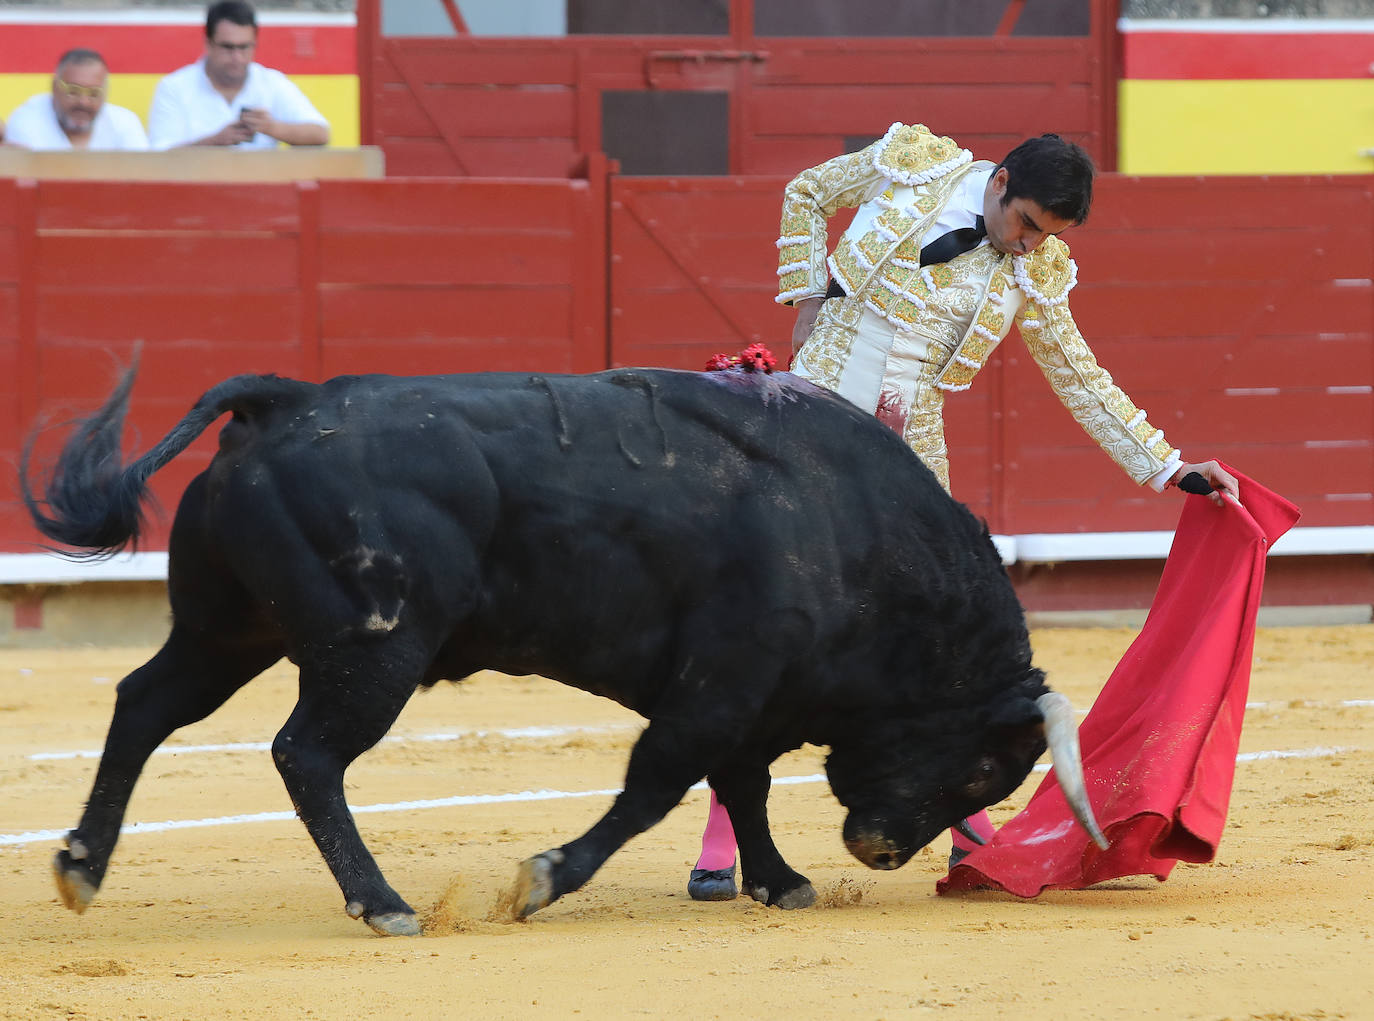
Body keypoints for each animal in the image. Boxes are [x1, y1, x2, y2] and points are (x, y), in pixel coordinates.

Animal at [18, 362, 1104, 939]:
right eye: (986, 767)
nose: (876, 849)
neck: (857, 530)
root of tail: (288, 401)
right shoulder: (720, 685)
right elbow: (659, 783)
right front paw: (543, 878)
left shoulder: (749, 696)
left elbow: (741, 784)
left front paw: (778, 879)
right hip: (371, 649)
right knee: (307, 754)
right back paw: (384, 902)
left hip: (226, 628)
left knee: (145, 703)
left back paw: (80, 865)